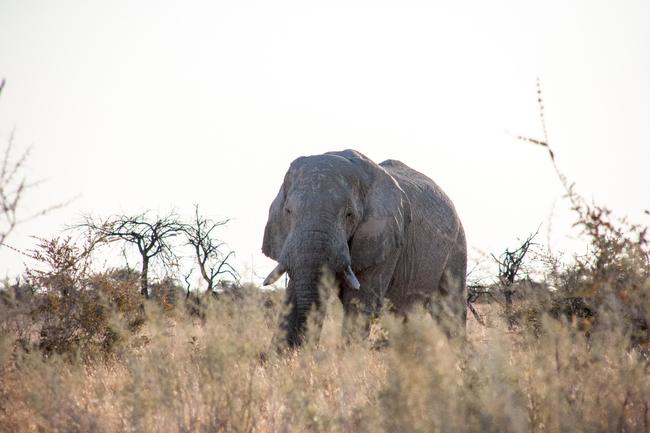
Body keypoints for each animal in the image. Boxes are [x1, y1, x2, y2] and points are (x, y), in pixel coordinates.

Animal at [260, 148, 464, 348]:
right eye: (288, 211)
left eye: (349, 215)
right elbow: (292, 296)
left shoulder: (386, 240)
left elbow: (358, 303)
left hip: (457, 243)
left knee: (450, 309)